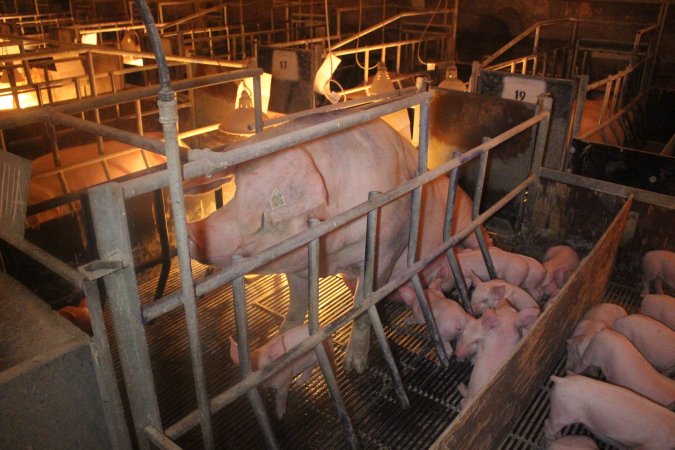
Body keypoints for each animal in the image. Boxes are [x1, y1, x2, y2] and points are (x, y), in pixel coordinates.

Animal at [187, 114, 488, 374]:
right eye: (236, 191)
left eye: (264, 209)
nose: (191, 234)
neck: (330, 253)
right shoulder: (297, 266)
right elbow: (296, 305)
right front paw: (282, 342)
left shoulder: (387, 246)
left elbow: (363, 304)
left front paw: (354, 367)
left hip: (466, 218)